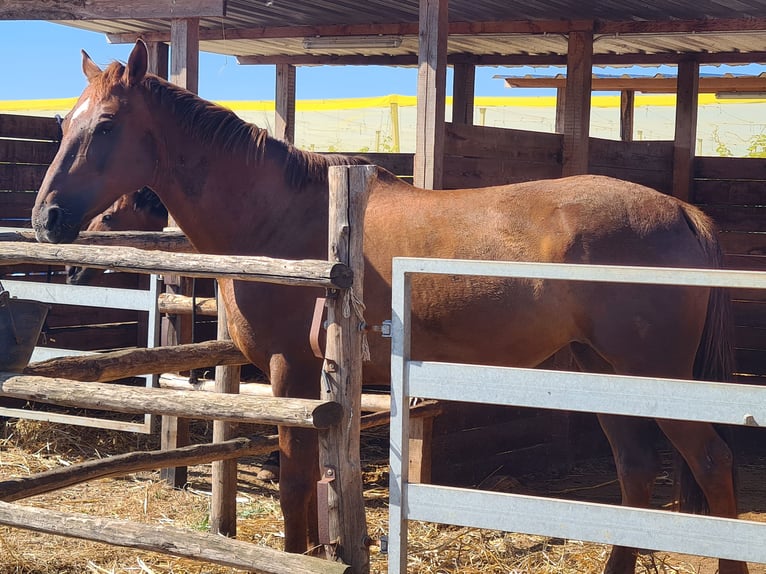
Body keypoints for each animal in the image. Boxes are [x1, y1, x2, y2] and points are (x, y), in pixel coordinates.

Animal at [31, 41, 752, 574]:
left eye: (106, 125)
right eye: (64, 123)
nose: (46, 218)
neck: (285, 217)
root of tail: (684, 212)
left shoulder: (290, 372)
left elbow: (296, 488)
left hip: (651, 376)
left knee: (713, 466)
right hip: (603, 370)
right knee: (636, 472)